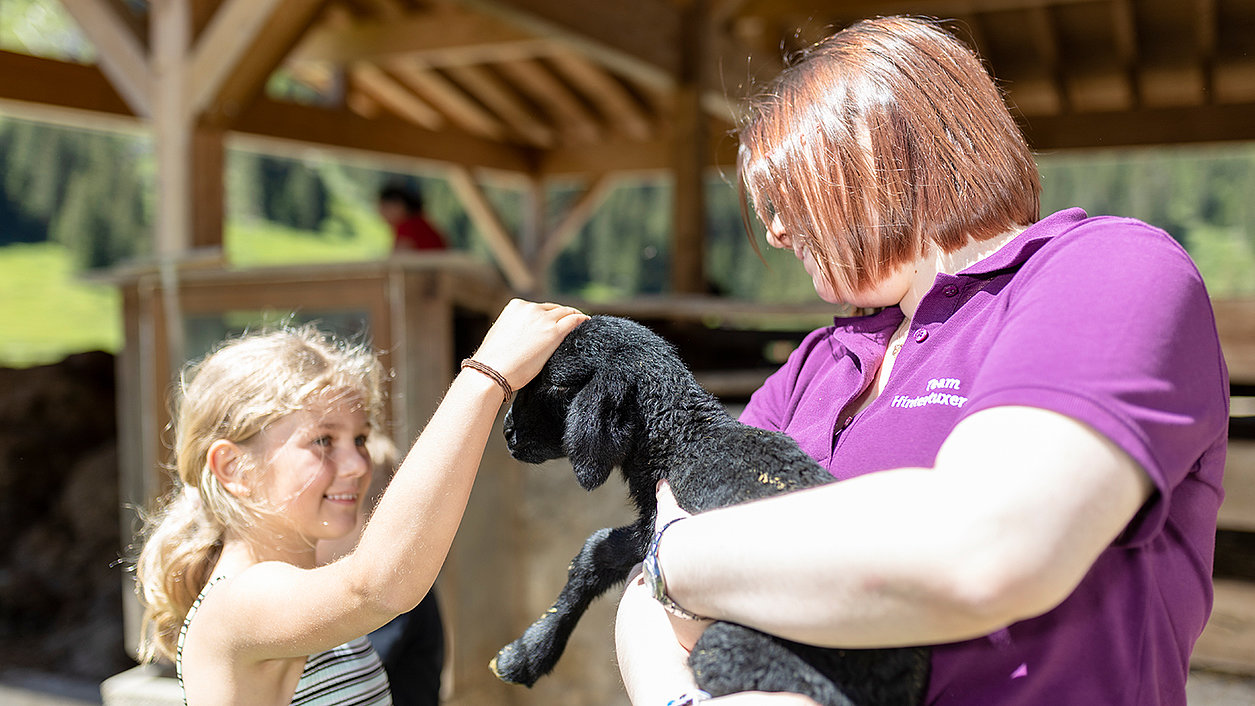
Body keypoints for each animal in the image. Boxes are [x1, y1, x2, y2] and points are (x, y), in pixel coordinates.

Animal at [489, 317, 933, 702]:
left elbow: (595, 551)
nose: (508, 433)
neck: (683, 437)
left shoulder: (659, 528)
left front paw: (525, 655)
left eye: (557, 385)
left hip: (728, 647)